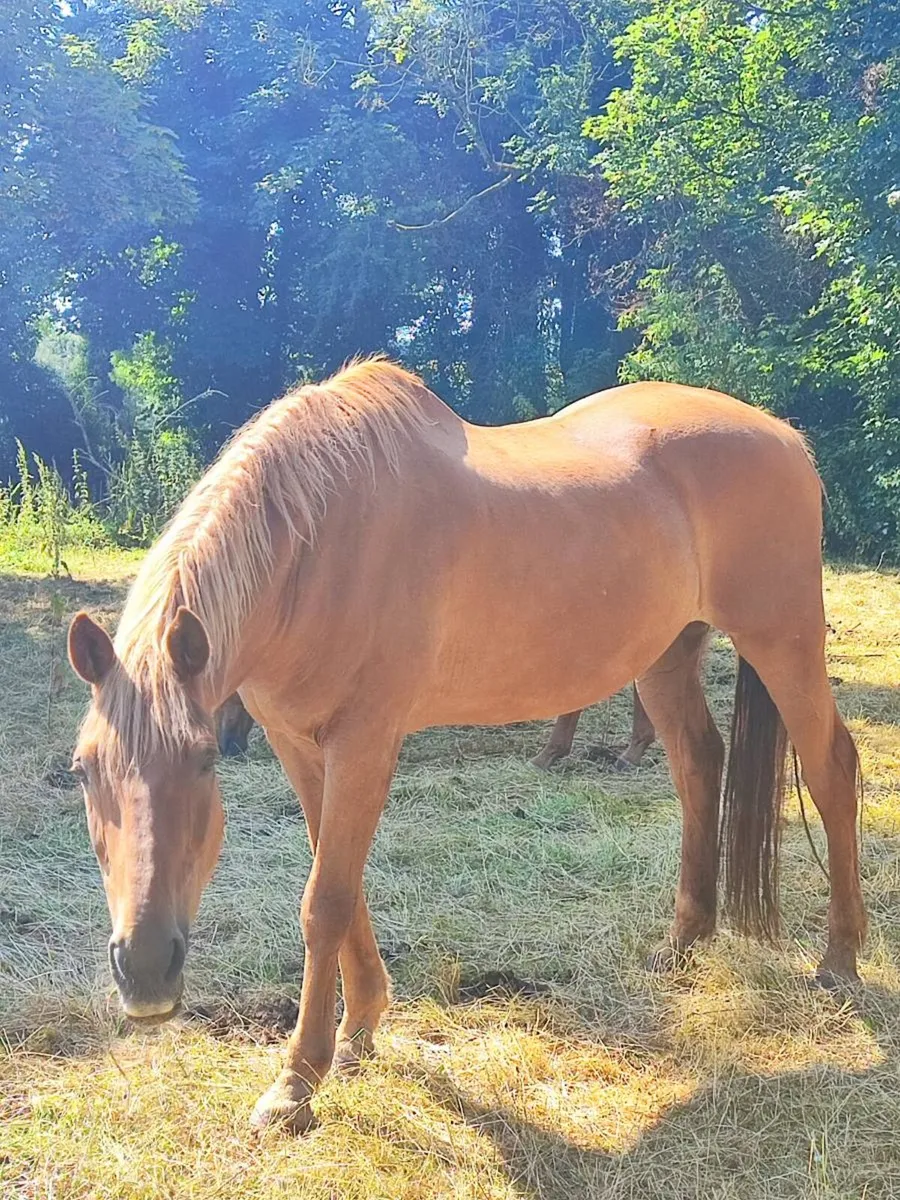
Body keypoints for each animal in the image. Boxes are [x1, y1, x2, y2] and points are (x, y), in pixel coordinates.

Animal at [67, 358, 865, 1135]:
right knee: (700, 764)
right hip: (667, 657)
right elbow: (340, 880)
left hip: (782, 639)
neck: (319, 541)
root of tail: (786, 438)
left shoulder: (365, 742)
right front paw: (360, 1028)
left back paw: (840, 961)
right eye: (82, 772)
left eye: (203, 760)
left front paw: (296, 1083)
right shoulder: (299, 745)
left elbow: (325, 900)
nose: (145, 972)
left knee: (832, 770)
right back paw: (683, 943)